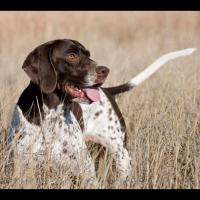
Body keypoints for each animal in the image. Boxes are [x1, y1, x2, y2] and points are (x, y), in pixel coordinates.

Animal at [8, 38, 197, 188]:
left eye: (88, 54)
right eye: (71, 56)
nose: (105, 70)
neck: (51, 115)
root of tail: (107, 91)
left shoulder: (85, 171)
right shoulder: (22, 169)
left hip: (120, 152)